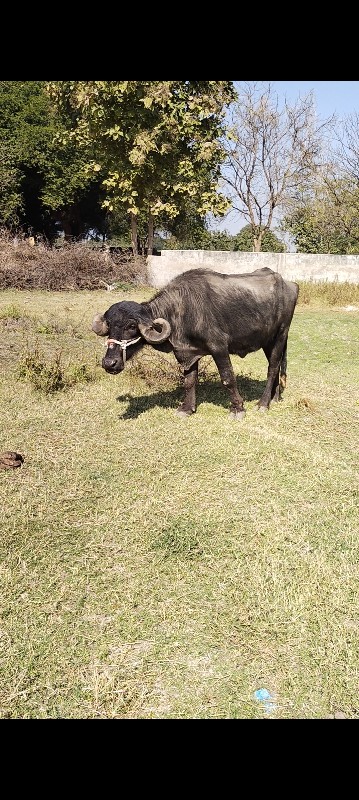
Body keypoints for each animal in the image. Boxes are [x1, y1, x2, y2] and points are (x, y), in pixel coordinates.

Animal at [91, 268, 300, 418]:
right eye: (109, 325)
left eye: (132, 326)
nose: (109, 363)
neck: (182, 310)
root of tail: (290, 284)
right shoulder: (187, 352)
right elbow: (189, 381)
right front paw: (186, 408)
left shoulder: (219, 347)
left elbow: (228, 378)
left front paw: (237, 409)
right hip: (268, 341)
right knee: (276, 365)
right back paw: (274, 397)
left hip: (281, 334)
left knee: (273, 368)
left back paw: (263, 403)